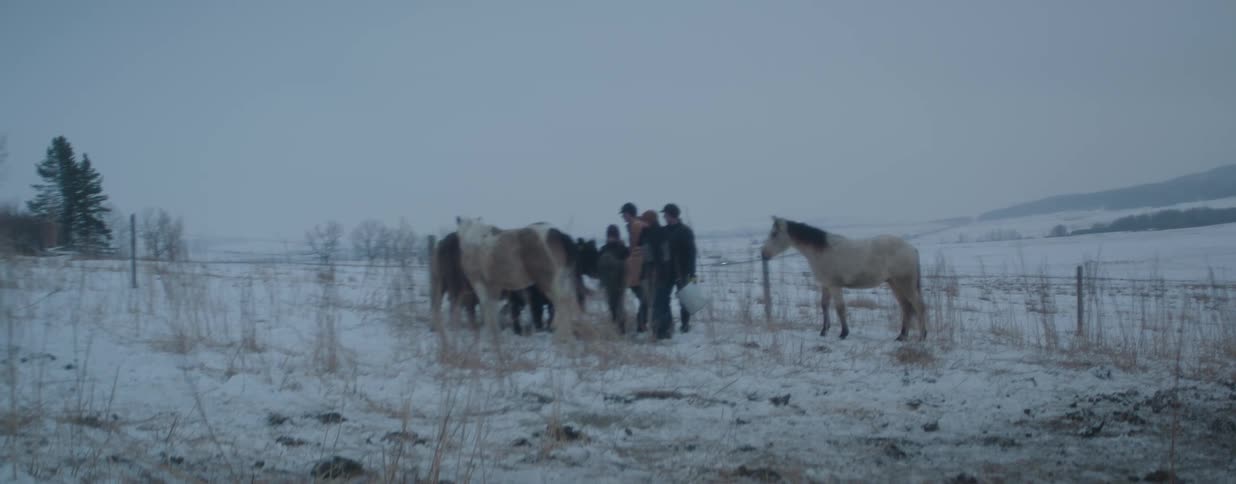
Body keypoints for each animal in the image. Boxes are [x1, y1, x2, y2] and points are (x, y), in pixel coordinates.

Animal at [760, 216, 926, 341]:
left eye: (774, 233)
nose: (763, 254)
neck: (821, 250)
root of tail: (911, 249)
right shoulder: (826, 285)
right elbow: (824, 305)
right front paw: (824, 331)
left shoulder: (834, 285)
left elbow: (840, 307)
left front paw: (843, 333)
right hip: (894, 283)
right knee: (906, 307)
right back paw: (901, 336)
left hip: (905, 283)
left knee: (918, 306)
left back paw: (922, 336)